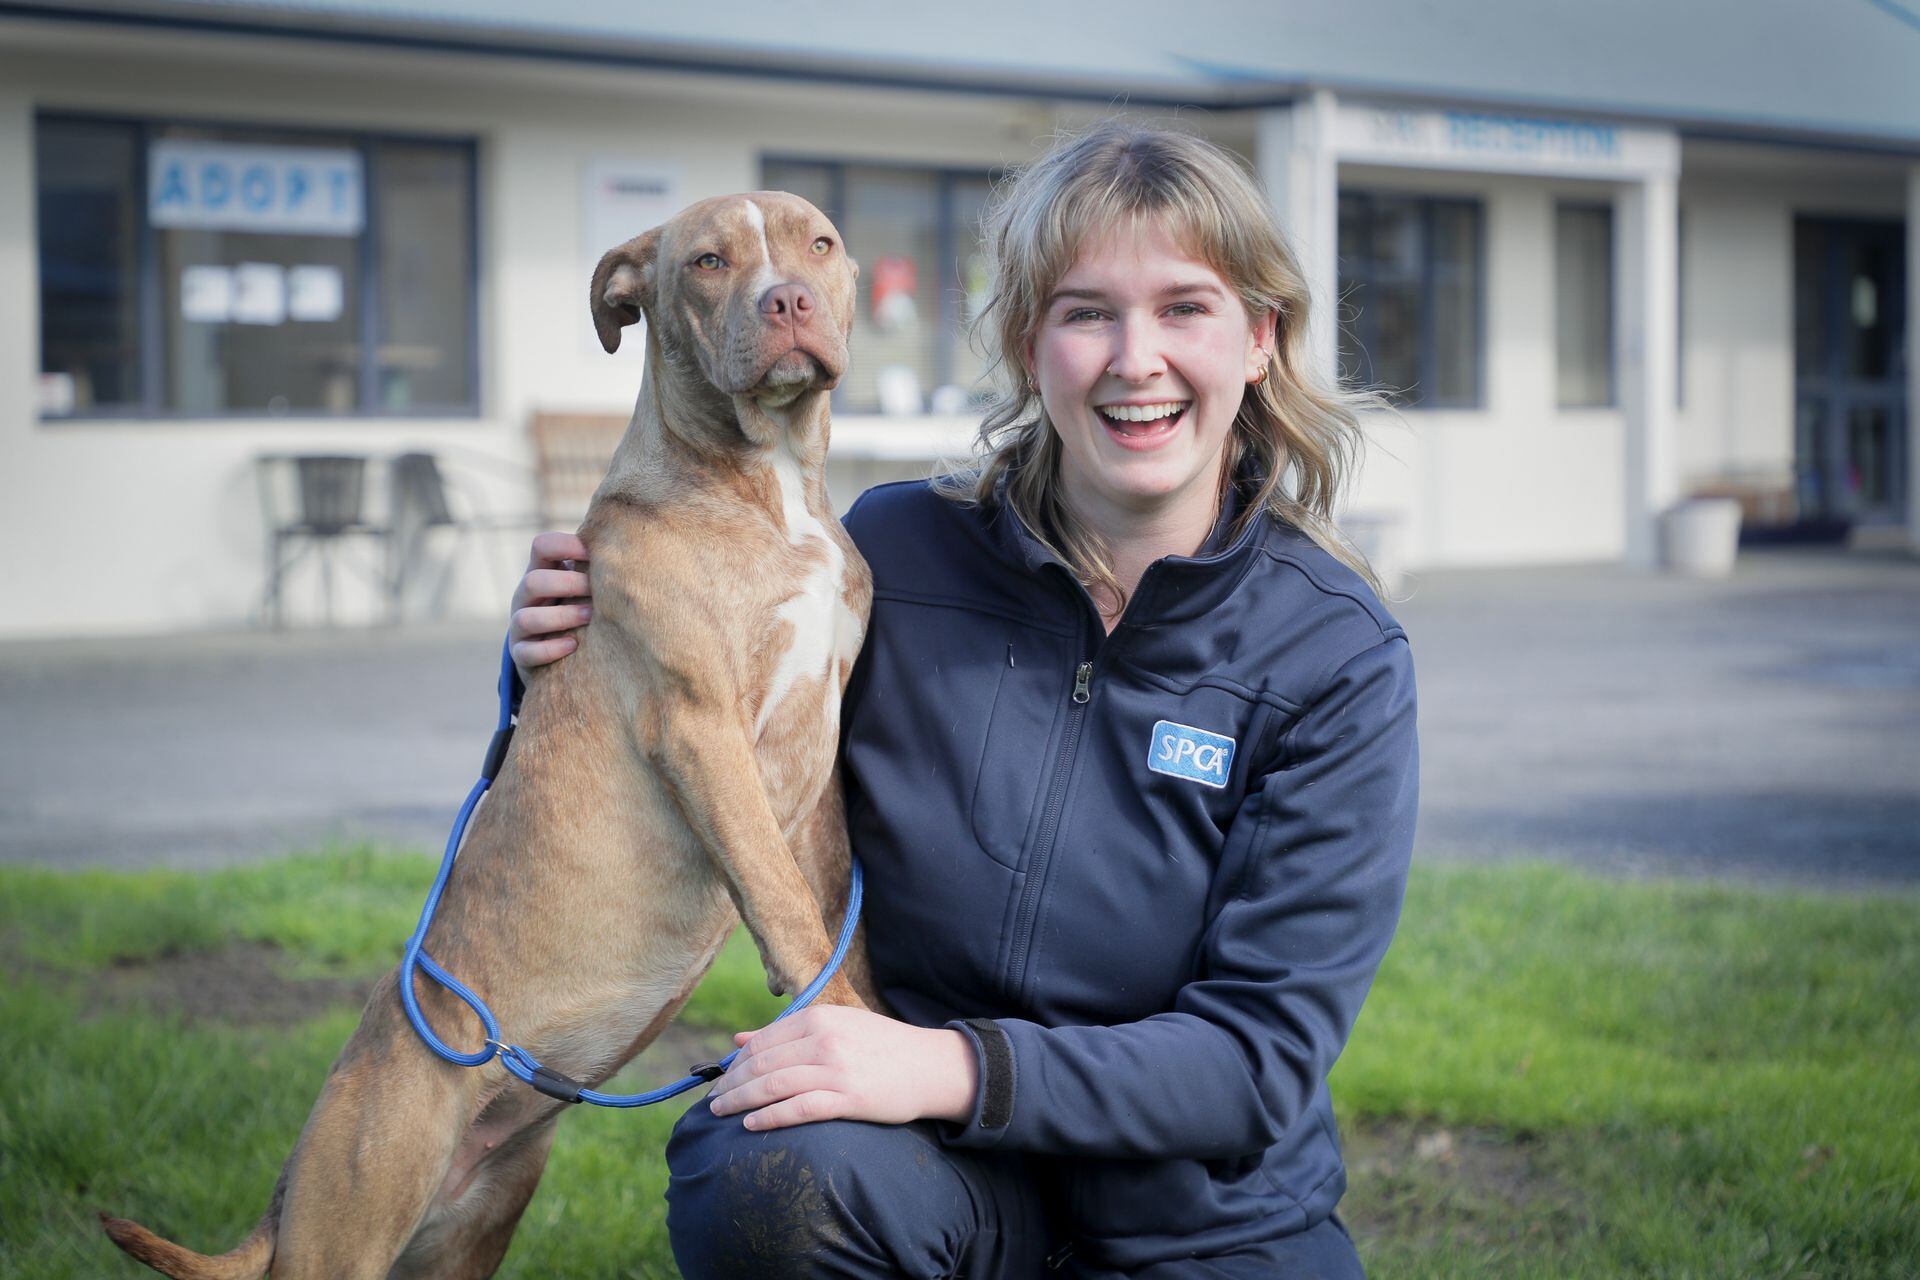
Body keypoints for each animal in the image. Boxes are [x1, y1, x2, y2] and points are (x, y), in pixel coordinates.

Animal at [103, 192, 879, 1280]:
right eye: (708, 261)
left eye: (819, 243)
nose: (790, 301)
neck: (767, 483)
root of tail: (290, 1177)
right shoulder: (700, 725)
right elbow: (786, 904)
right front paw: (853, 1034)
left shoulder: (819, 748)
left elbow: (832, 904)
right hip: (349, 1223)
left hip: (476, 1221)